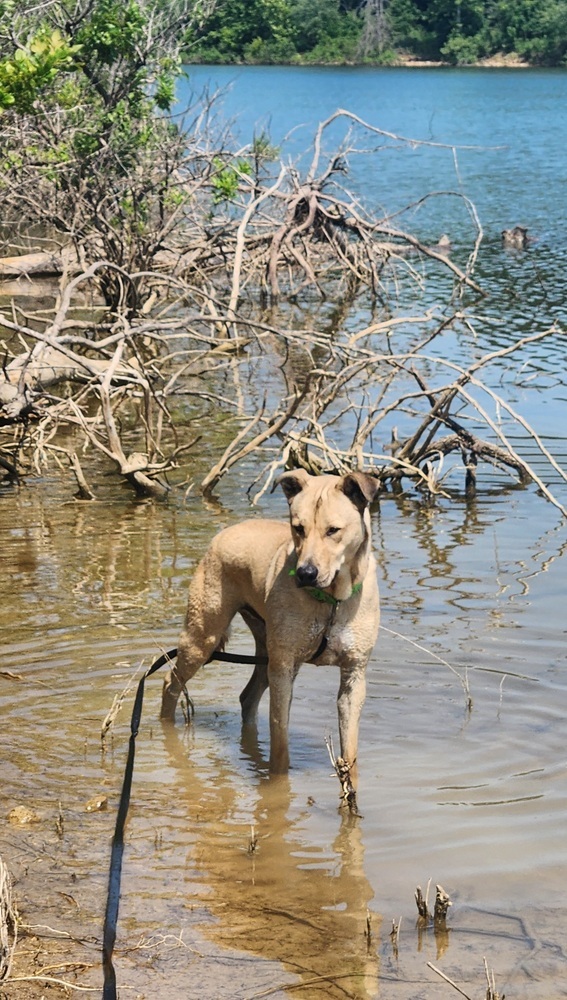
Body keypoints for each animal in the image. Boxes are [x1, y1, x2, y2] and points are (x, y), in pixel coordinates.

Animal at [161, 470, 382, 796]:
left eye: (333, 530)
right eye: (298, 528)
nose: (306, 573)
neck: (329, 601)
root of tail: (225, 532)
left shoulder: (354, 675)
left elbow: (350, 750)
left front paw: (349, 788)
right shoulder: (283, 668)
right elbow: (279, 741)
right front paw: (277, 787)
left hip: (263, 650)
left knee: (247, 696)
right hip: (203, 639)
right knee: (170, 683)